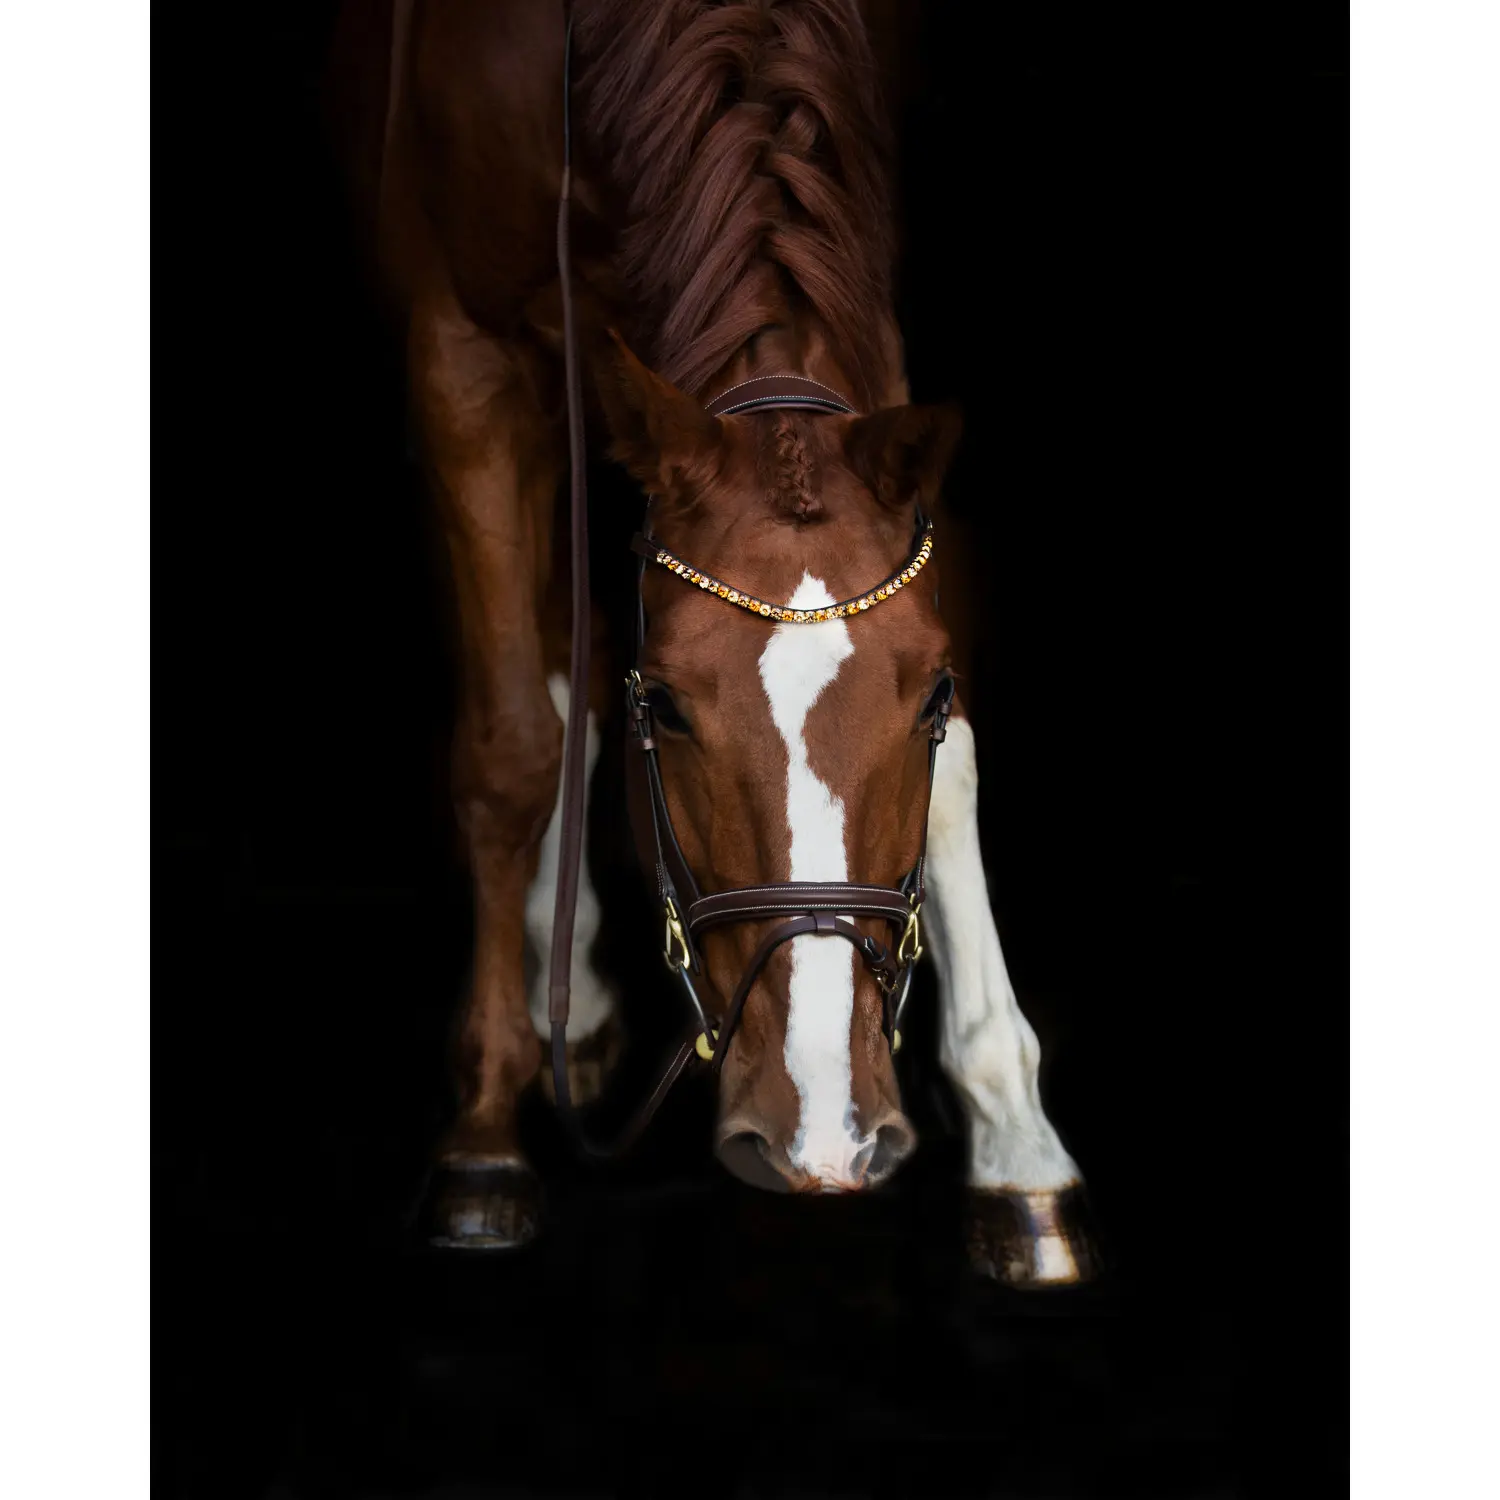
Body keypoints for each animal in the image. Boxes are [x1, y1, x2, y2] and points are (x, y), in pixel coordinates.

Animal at [326, 0, 1098, 1287]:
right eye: (673, 710)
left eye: (931, 696)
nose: (827, 1135)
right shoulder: (466, 350)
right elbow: (510, 750)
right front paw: (483, 1136)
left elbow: (954, 778)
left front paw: (1015, 1141)